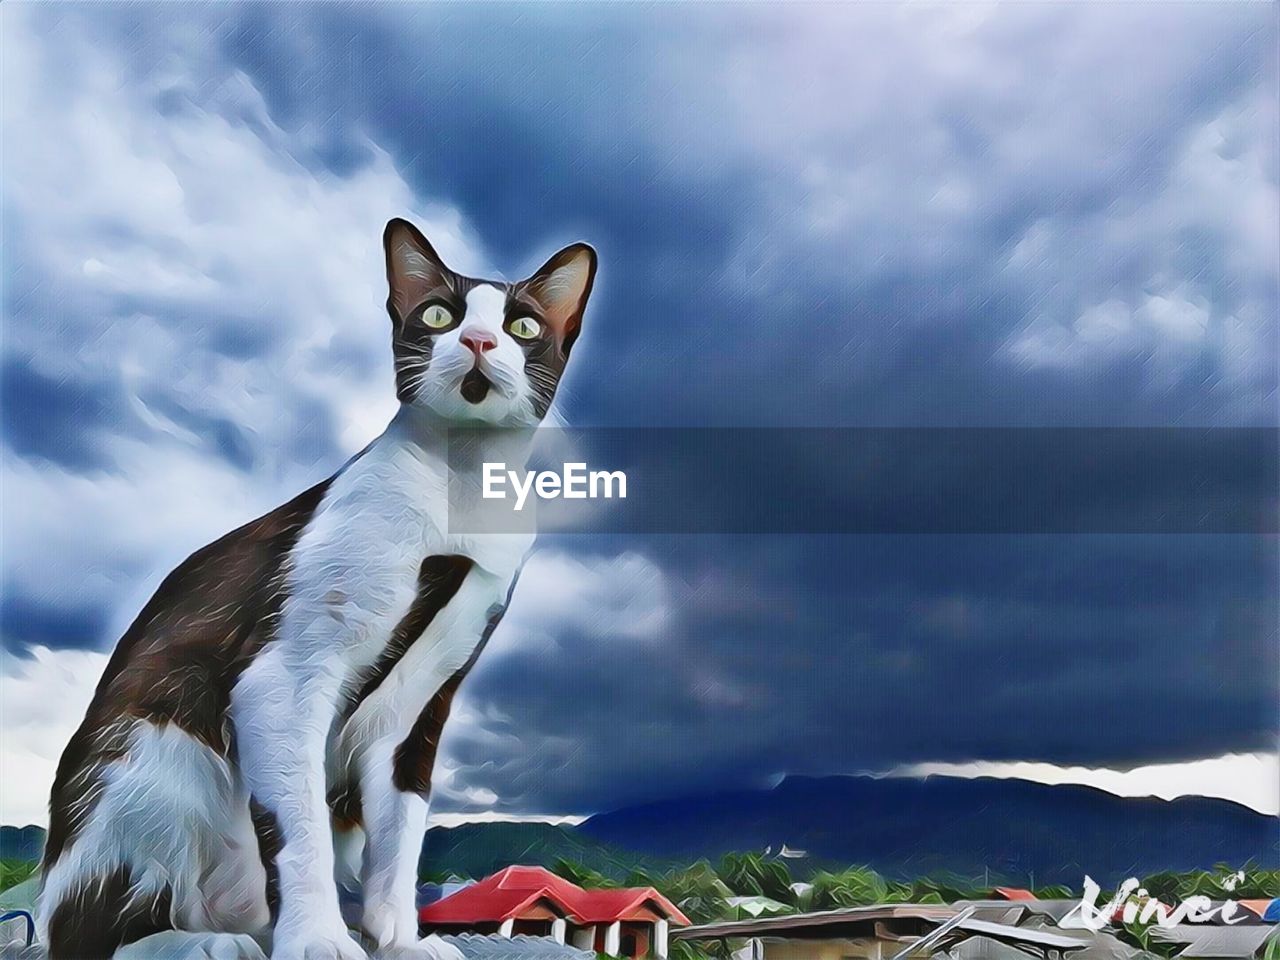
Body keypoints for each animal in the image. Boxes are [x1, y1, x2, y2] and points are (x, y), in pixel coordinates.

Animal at [38, 221, 599, 960]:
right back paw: (202, 941)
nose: (479, 341)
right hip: (153, 749)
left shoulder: (421, 704)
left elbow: (401, 837)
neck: (462, 489)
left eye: (523, 325)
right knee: (88, 924)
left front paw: (399, 941)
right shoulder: (282, 675)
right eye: (439, 316)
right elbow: (299, 824)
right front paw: (318, 939)